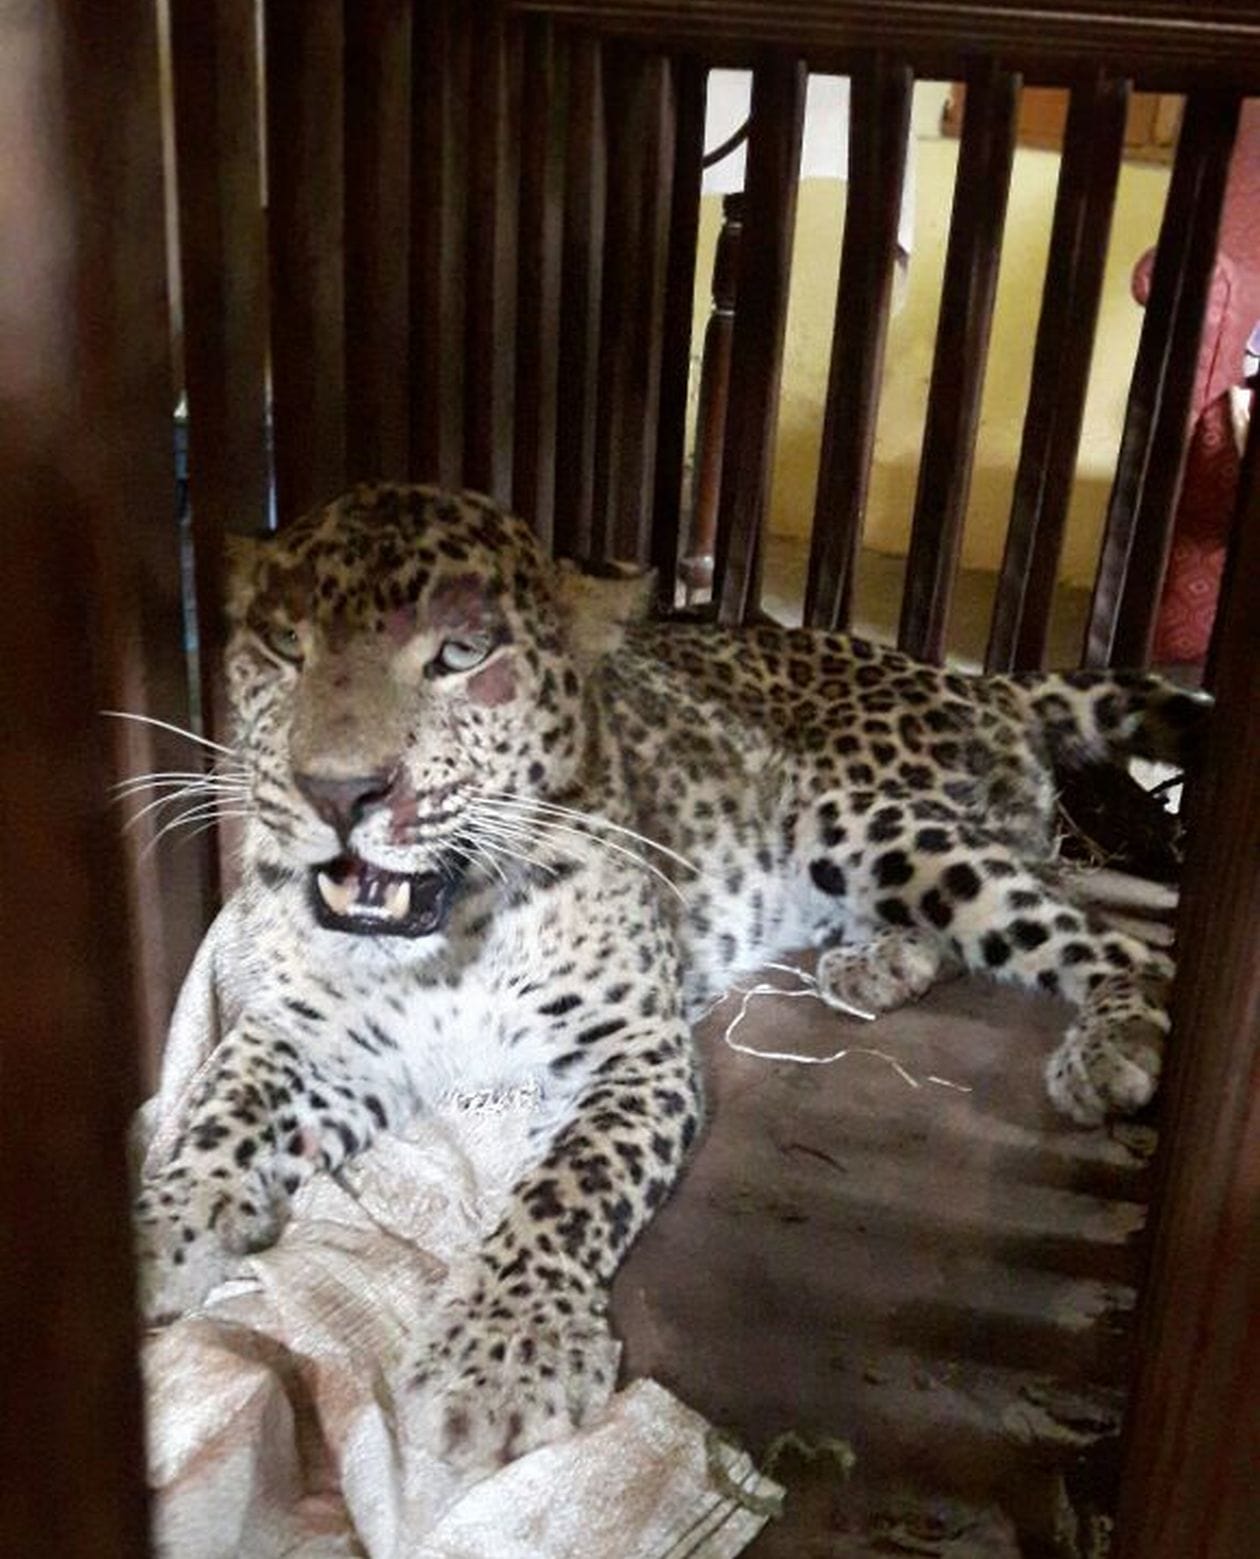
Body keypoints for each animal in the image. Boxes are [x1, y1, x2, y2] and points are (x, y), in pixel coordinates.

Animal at [133, 482, 1209, 1474]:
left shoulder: (631, 1051)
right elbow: (215, 1107)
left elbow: (566, 1186)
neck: (449, 941)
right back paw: (878, 963)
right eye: (283, 645)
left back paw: (1108, 1045)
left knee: (1104, 933)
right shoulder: (308, 1035)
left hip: (856, 818)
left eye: (461, 655)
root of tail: (984, 683)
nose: (339, 790)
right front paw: (154, 1236)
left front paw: (501, 1357)